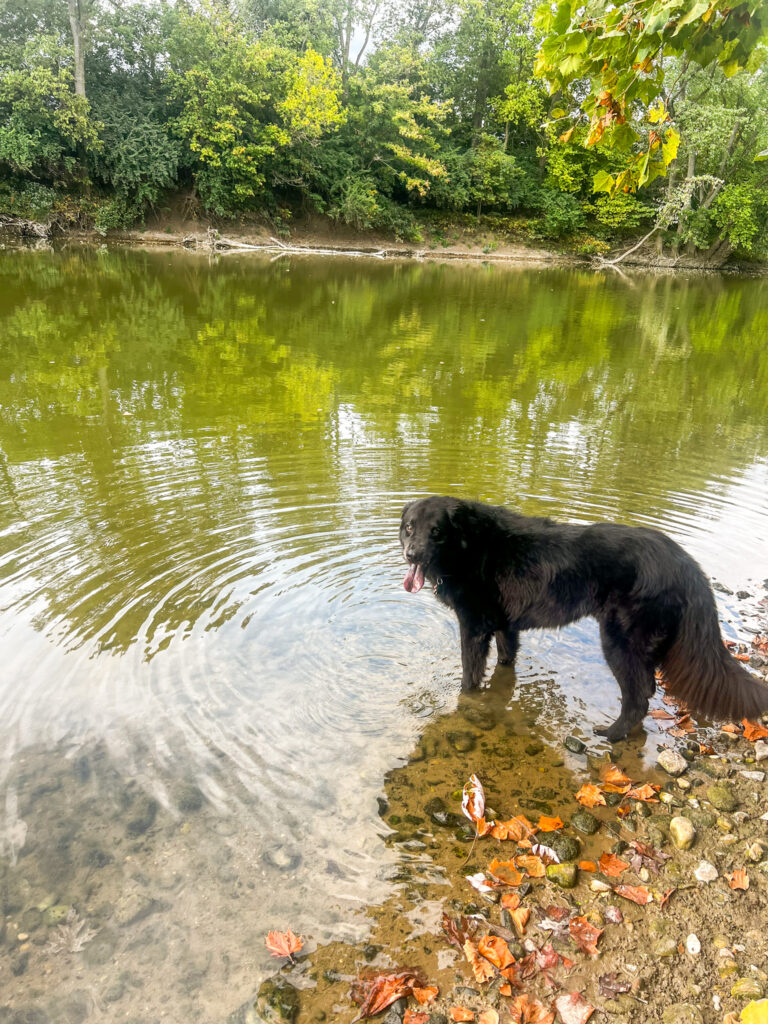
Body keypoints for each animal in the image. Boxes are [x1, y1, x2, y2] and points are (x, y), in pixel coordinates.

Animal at [399, 493, 765, 741]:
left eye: (436, 531)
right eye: (409, 528)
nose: (411, 554)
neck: (469, 545)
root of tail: (683, 561)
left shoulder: (474, 628)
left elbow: (468, 676)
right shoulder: (505, 627)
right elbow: (505, 662)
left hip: (618, 642)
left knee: (638, 697)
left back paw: (611, 734)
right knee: (645, 692)